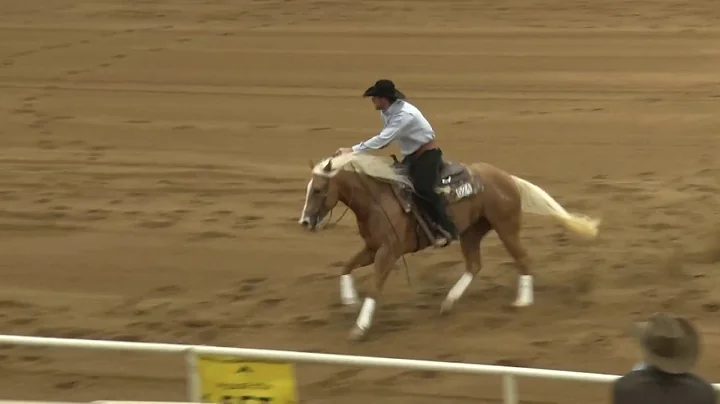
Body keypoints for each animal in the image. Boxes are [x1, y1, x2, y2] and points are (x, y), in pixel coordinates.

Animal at [296, 152, 600, 340]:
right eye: (309, 189)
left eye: (319, 190)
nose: (305, 221)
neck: (377, 200)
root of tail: (508, 178)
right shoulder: (372, 248)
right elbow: (346, 267)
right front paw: (349, 300)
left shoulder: (388, 252)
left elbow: (374, 287)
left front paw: (359, 328)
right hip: (471, 232)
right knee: (474, 265)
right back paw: (449, 302)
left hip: (506, 227)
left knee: (523, 259)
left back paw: (523, 301)